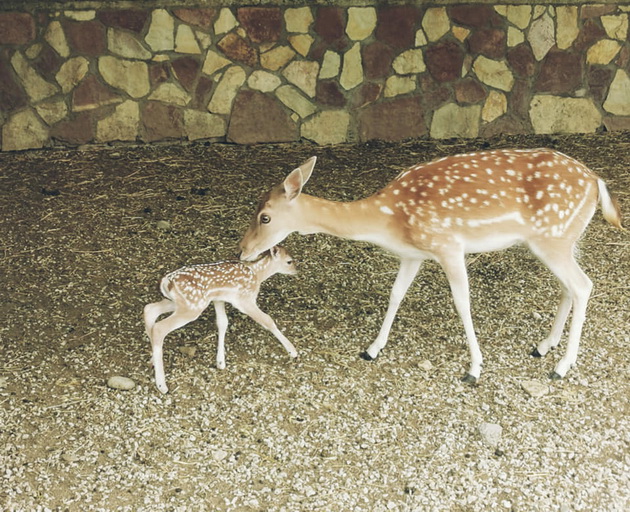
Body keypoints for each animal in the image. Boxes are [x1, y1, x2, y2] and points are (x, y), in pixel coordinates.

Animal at [239, 150, 624, 382]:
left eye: (265, 216)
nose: (243, 251)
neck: (389, 219)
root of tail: (597, 182)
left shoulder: (448, 245)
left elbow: (462, 302)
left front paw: (474, 368)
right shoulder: (412, 254)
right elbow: (395, 294)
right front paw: (372, 349)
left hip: (553, 237)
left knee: (583, 285)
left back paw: (562, 365)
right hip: (560, 239)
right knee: (569, 286)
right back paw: (544, 345)